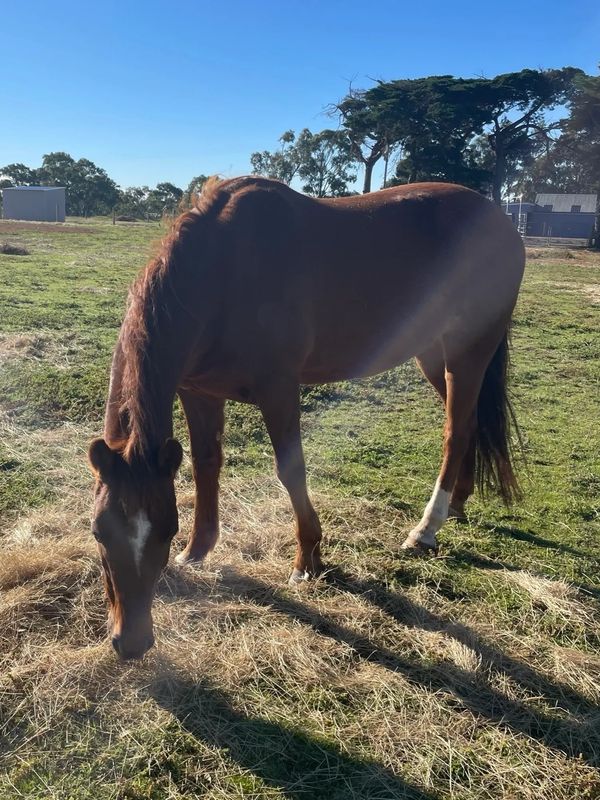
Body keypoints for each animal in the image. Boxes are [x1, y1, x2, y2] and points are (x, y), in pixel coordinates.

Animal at [89, 178, 524, 660]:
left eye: (166, 529)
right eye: (99, 532)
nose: (131, 642)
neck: (222, 270)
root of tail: (501, 222)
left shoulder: (279, 389)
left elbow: (290, 470)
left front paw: (307, 559)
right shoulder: (198, 392)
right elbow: (206, 465)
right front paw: (198, 550)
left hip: (467, 351)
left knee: (456, 431)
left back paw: (426, 529)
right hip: (433, 353)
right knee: (468, 425)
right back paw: (458, 504)